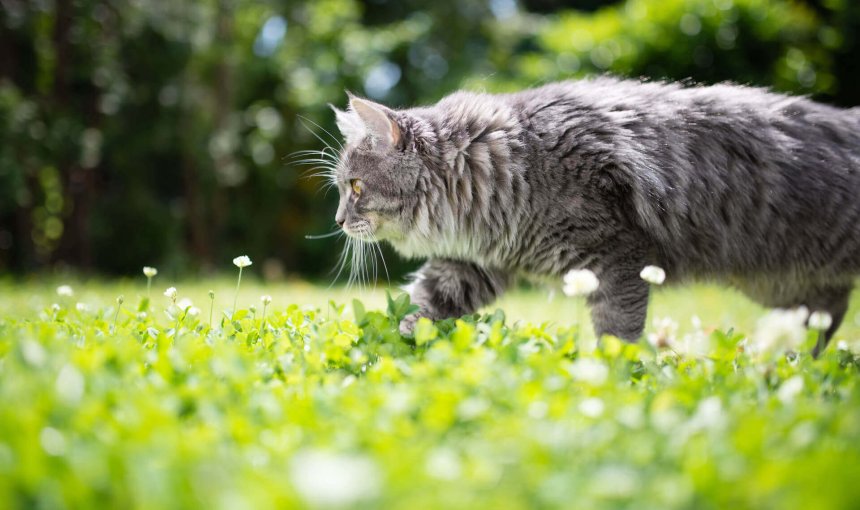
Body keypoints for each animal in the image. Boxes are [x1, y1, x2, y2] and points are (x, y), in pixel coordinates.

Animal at [328, 76, 860, 354]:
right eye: (340, 188)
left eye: (355, 188)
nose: (336, 220)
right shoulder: (473, 263)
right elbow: (427, 298)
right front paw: (403, 332)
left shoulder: (618, 260)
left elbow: (616, 331)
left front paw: (611, 378)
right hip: (785, 288)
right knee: (824, 319)